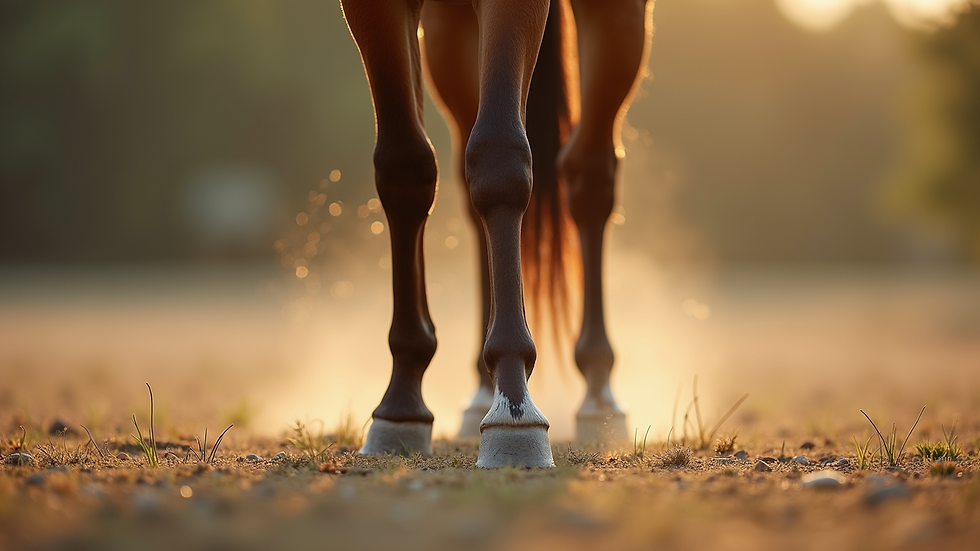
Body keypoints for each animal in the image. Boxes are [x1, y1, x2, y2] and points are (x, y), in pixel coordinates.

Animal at [340, 0, 654, 467]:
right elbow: (404, 168)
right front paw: (401, 403)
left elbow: (499, 158)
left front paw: (514, 407)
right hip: (447, 30)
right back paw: (481, 391)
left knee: (590, 174)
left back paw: (599, 395)